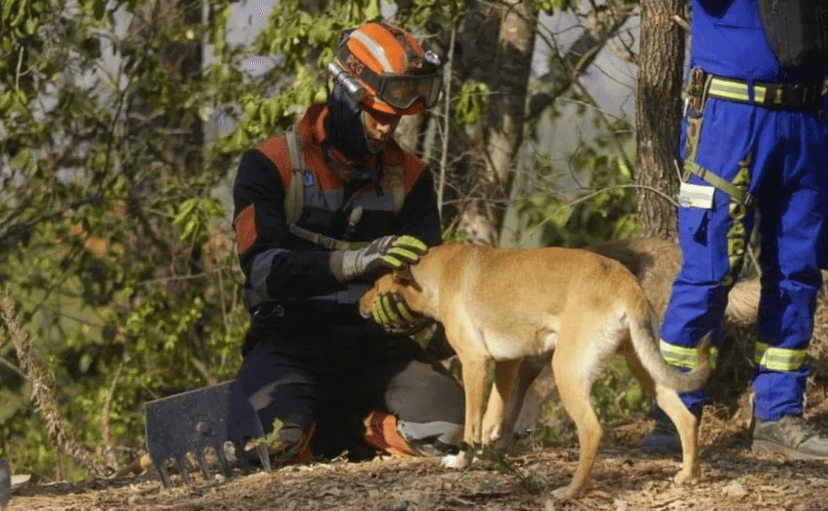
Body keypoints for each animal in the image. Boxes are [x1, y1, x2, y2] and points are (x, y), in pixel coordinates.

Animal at [358, 244, 712, 500]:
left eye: (375, 285)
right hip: (646, 371)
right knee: (686, 418)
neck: (438, 272)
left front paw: (463, 459)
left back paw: (569, 491)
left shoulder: (474, 361)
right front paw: (489, 451)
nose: (359, 306)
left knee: (593, 431)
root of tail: (627, 286)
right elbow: (496, 414)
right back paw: (688, 474)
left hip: (567, 371)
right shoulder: (508, 361)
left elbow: (472, 423)